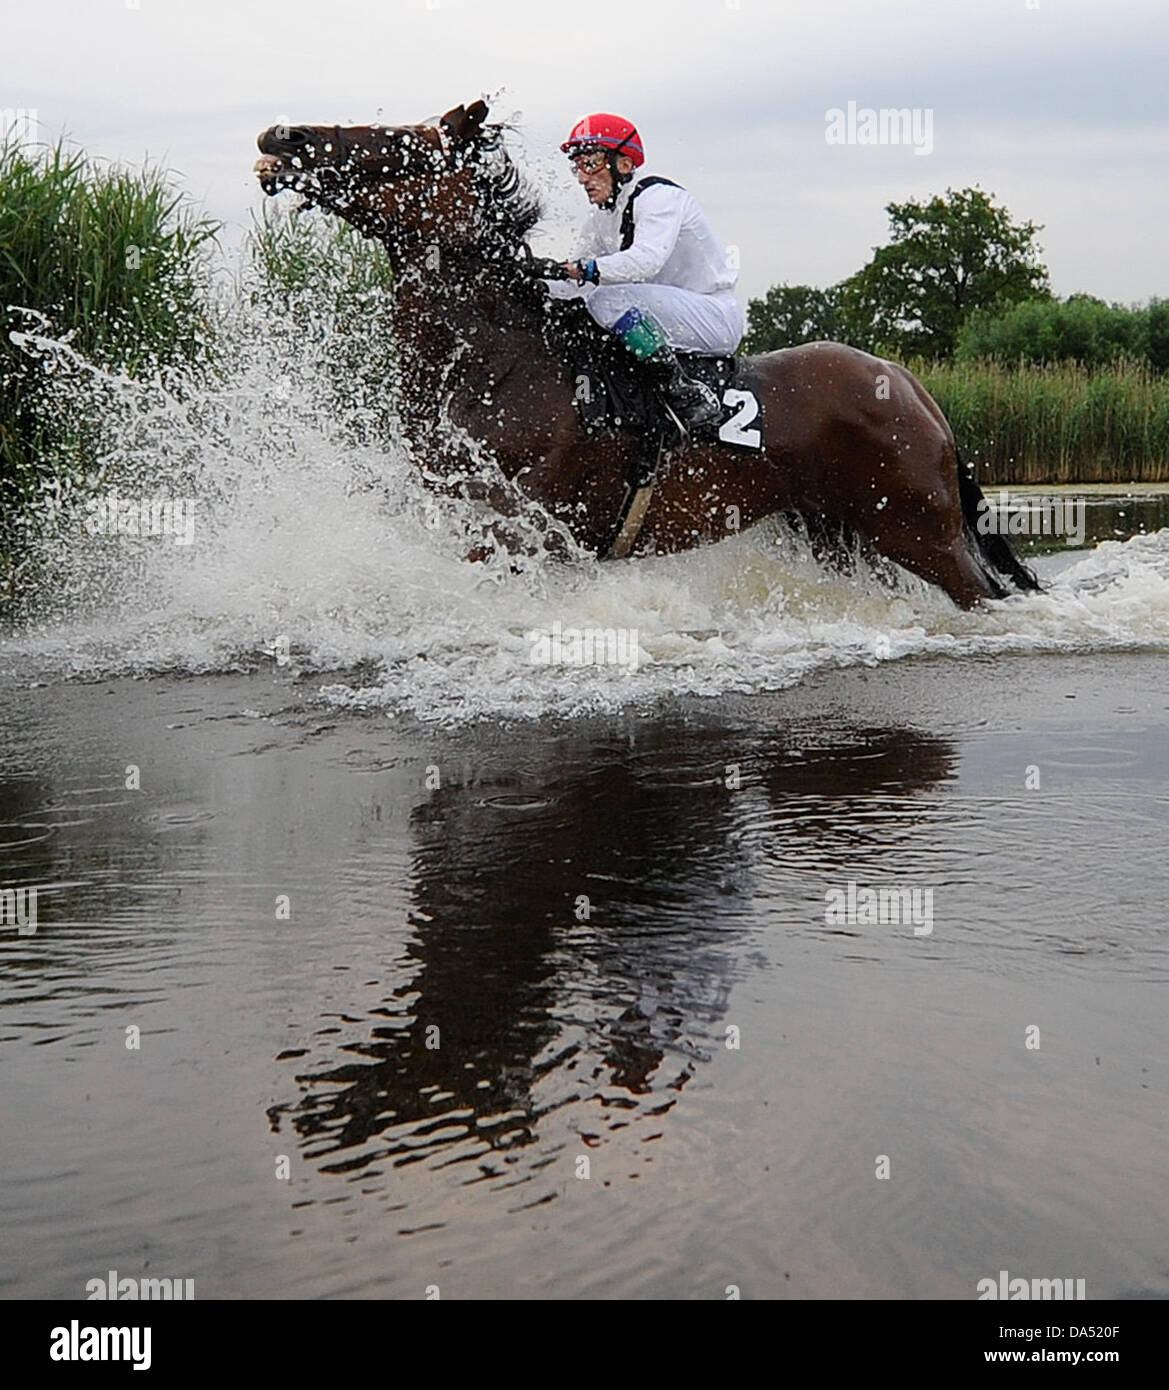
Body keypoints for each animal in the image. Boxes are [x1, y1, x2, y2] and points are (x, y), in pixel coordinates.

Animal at [255, 97, 1039, 608]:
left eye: (401, 142)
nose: (280, 134)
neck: (496, 364)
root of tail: (902, 378)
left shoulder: (512, 532)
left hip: (917, 528)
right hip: (839, 532)